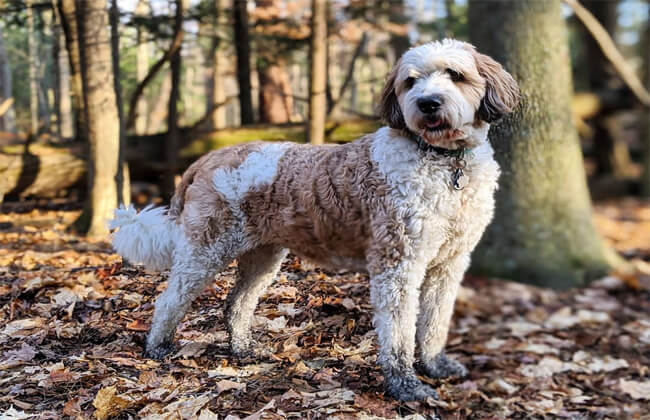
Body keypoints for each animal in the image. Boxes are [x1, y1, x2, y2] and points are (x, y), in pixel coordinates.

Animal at [110, 40, 516, 404]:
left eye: (455, 74)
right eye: (410, 82)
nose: (427, 103)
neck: (443, 161)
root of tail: (207, 157)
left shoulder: (448, 264)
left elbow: (435, 323)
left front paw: (435, 366)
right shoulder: (399, 265)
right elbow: (399, 332)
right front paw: (406, 387)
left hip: (262, 256)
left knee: (236, 304)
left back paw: (243, 349)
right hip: (204, 251)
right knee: (169, 301)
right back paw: (158, 347)